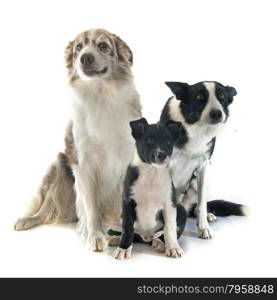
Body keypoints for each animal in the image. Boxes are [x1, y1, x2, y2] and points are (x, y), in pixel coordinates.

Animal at [14, 29, 141, 252]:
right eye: (78, 48)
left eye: (103, 46)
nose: (85, 58)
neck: (101, 97)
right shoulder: (83, 163)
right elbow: (91, 207)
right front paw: (96, 236)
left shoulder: (127, 160)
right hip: (59, 165)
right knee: (46, 208)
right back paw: (28, 219)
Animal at [111, 118, 187, 258]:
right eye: (149, 141)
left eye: (168, 142)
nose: (162, 155)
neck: (151, 172)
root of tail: (147, 237)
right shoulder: (128, 203)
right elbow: (127, 228)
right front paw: (123, 248)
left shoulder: (169, 204)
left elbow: (170, 228)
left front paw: (173, 247)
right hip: (122, 215)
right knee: (134, 235)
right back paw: (115, 238)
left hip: (181, 210)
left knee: (163, 233)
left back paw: (160, 243)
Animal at [157, 81, 248, 239]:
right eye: (199, 97)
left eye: (222, 96)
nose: (217, 113)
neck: (195, 128)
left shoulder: (203, 166)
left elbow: (202, 204)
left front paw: (203, 227)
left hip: (195, 183)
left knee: (197, 206)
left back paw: (208, 215)